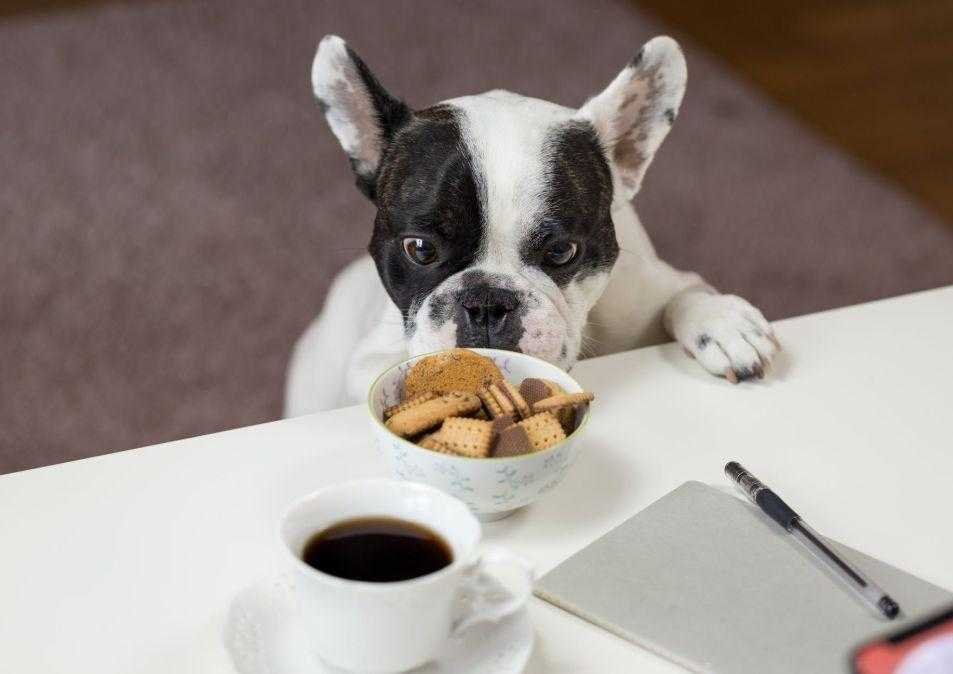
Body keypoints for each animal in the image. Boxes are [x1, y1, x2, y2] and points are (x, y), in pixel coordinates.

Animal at [286, 36, 776, 418]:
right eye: (420, 249)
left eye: (561, 252)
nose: (486, 303)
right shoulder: (369, 358)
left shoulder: (647, 289)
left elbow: (686, 293)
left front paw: (723, 322)